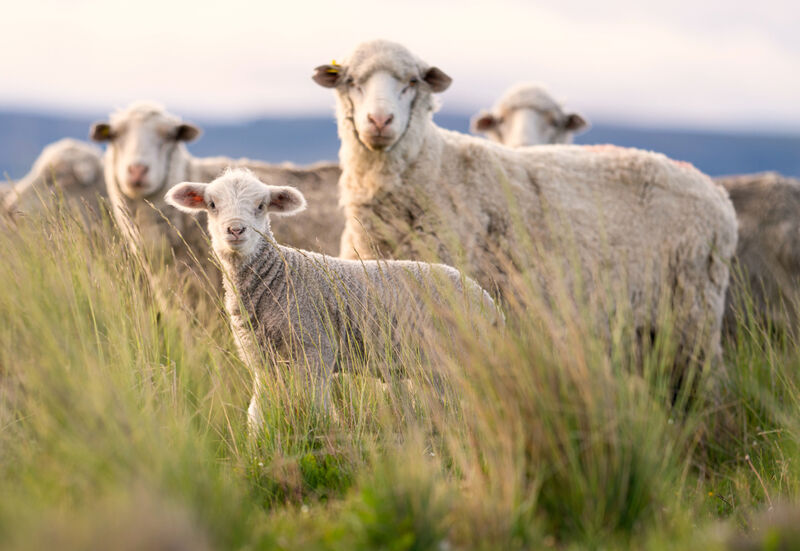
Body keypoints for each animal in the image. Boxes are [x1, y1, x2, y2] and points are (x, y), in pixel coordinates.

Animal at [165, 170, 496, 430]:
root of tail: (485, 297)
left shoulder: (315, 348)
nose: (235, 230)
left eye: (261, 206)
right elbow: (257, 412)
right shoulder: (260, 359)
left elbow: (315, 408)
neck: (278, 276)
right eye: (212, 205)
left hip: (459, 355)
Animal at [312, 40, 736, 370]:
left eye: (412, 82)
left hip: (693, 309)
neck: (436, 165)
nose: (379, 121)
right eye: (351, 82)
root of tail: (717, 194)